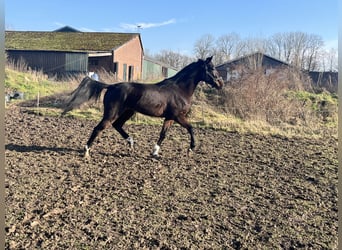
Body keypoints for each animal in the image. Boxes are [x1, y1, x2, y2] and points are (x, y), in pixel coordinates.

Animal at [62, 56, 224, 157]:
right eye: (211, 68)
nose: (220, 83)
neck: (179, 89)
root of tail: (112, 86)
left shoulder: (170, 117)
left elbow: (163, 134)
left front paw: (155, 152)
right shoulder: (178, 116)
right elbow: (191, 128)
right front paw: (191, 149)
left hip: (128, 112)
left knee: (117, 125)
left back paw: (131, 142)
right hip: (112, 113)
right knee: (99, 128)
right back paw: (86, 151)